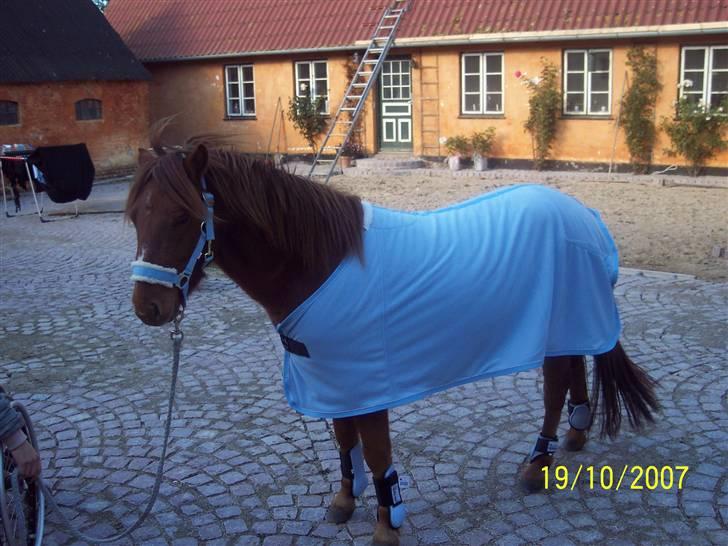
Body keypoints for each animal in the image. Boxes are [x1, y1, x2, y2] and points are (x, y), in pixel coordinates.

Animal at [126, 133, 659, 546]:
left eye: (183, 217)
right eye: (135, 217)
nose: (148, 308)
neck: (318, 264)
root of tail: (583, 215)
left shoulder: (369, 382)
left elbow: (377, 453)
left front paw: (387, 525)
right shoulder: (335, 378)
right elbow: (345, 444)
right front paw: (344, 500)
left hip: (556, 327)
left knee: (552, 391)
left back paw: (536, 466)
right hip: (566, 326)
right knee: (574, 371)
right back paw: (574, 436)